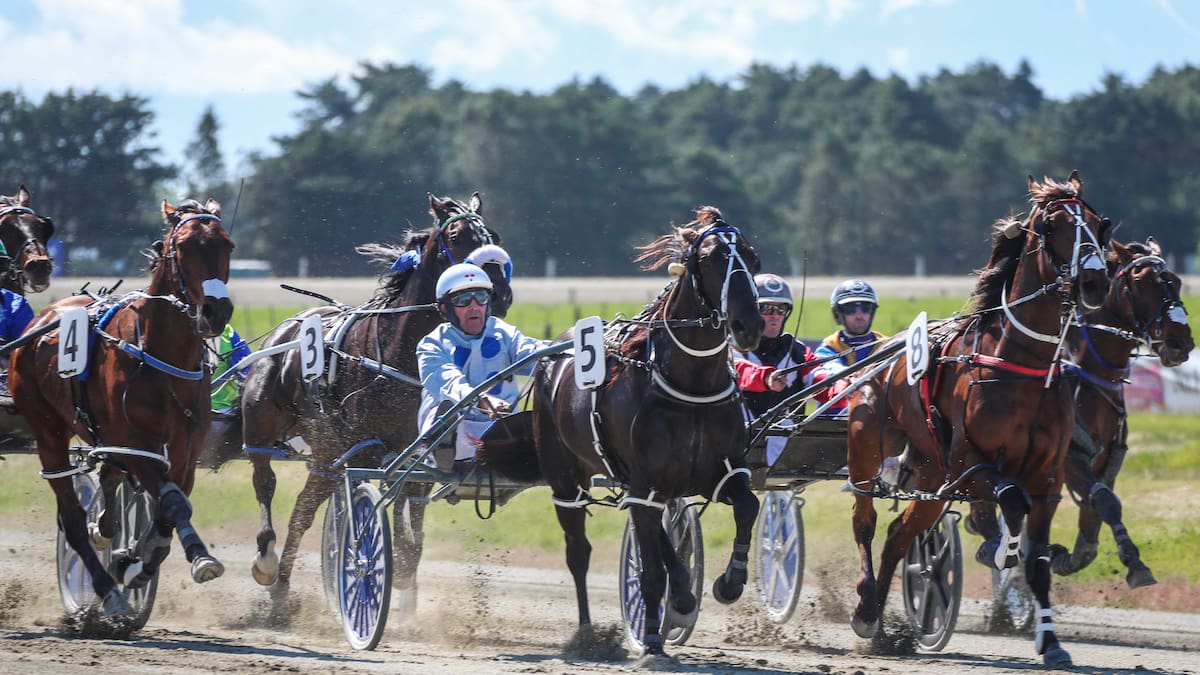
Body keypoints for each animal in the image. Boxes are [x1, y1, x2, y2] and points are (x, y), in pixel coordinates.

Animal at [9, 198, 233, 617]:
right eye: (183, 247)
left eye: (227, 245)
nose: (217, 311)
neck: (160, 353)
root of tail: (42, 320)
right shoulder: (136, 443)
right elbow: (174, 504)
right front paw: (199, 557)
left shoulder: (186, 449)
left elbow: (169, 508)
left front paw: (136, 563)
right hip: (47, 429)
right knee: (72, 516)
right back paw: (106, 588)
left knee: (110, 478)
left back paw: (108, 531)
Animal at [236, 192, 512, 607]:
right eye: (459, 236)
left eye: (492, 234)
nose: (499, 293)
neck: (399, 350)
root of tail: (289, 327)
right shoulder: (366, 448)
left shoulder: (417, 452)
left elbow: (408, 518)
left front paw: (404, 575)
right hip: (263, 429)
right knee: (265, 481)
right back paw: (268, 565)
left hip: (326, 451)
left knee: (303, 508)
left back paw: (284, 589)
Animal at [515, 206, 764, 656]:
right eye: (713, 259)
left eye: (752, 259)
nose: (748, 325)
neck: (690, 384)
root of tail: (553, 353)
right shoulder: (645, 482)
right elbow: (647, 570)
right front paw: (650, 638)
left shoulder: (723, 471)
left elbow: (747, 507)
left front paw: (729, 581)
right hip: (566, 477)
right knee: (578, 550)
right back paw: (588, 633)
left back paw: (681, 594)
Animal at [843, 172, 1113, 667]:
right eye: (1053, 224)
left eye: (1099, 224)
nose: (1093, 280)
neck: (1021, 365)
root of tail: (879, 351)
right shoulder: (970, 463)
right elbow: (1011, 502)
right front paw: (1004, 550)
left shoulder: (1046, 477)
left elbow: (1039, 561)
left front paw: (1051, 642)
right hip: (867, 445)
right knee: (865, 521)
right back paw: (866, 608)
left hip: (931, 475)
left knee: (898, 534)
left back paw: (882, 625)